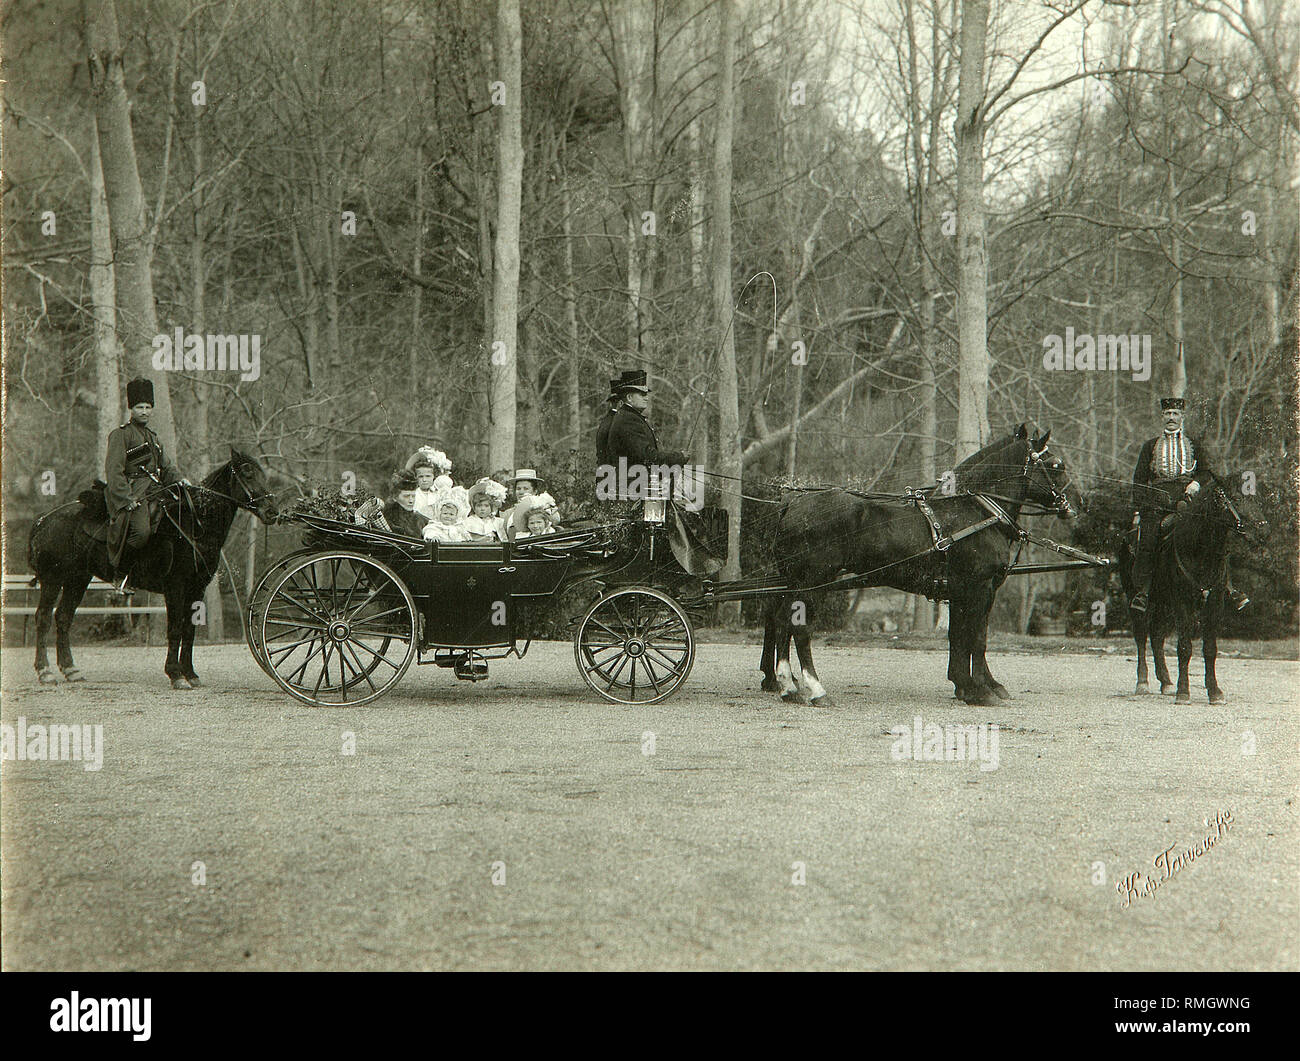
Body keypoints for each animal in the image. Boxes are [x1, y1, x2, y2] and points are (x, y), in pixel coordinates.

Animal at [27, 444, 279, 686]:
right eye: (247, 473)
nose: (272, 512)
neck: (193, 524)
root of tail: (44, 520)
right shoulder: (175, 587)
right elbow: (175, 629)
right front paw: (176, 674)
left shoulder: (196, 589)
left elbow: (189, 630)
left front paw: (190, 673)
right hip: (52, 580)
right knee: (43, 618)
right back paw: (45, 671)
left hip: (77, 580)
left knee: (63, 618)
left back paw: (70, 669)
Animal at [759, 423, 1076, 702]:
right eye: (1056, 464)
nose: (1074, 504)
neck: (976, 512)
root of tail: (791, 504)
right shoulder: (980, 587)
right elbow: (976, 637)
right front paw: (981, 691)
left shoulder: (960, 591)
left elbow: (959, 635)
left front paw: (966, 686)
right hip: (813, 582)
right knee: (799, 628)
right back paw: (815, 690)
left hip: (793, 581)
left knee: (780, 621)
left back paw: (787, 686)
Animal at [1118, 475, 1268, 702]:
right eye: (1235, 498)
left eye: (1257, 497)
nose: (1262, 530)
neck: (1198, 549)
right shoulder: (1182, 601)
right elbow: (1184, 647)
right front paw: (1183, 691)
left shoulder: (1214, 601)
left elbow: (1210, 649)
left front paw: (1214, 691)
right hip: (1136, 597)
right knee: (1141, 635)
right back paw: (1143, 682)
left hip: (1164, 603)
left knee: (1157, 635)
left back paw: (1165, 681)